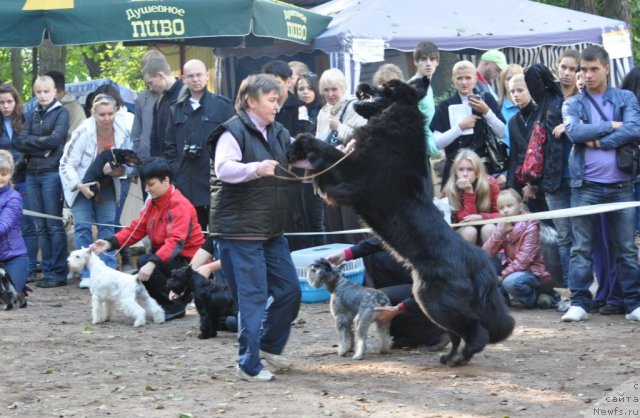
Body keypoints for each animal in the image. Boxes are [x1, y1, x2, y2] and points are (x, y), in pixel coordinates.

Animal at [288, 78, 516, 366]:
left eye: (387, 86)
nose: (362, 84)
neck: (395, 125)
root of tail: (477, 260)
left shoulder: (350, 175)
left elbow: (324, 149)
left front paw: (299, 144)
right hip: (436, 303)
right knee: (458, 334)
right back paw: (449, 357)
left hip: (435, 299)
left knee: (476, 332)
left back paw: (460, 358)